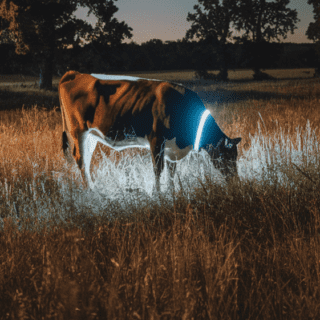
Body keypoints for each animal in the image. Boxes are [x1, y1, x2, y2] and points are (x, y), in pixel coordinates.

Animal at [59, 70, 240, 192]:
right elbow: (158, 169)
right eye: (225, 156)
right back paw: (91, 190)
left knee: (86, 160)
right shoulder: (156, 139)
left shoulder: (172, 148)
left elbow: (172, 171)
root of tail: (75, 73)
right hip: (79, 131)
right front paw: (158, 194)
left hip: (91, 136)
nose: (235, 180)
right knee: (81, 160)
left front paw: (172, 192)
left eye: (235, 156)